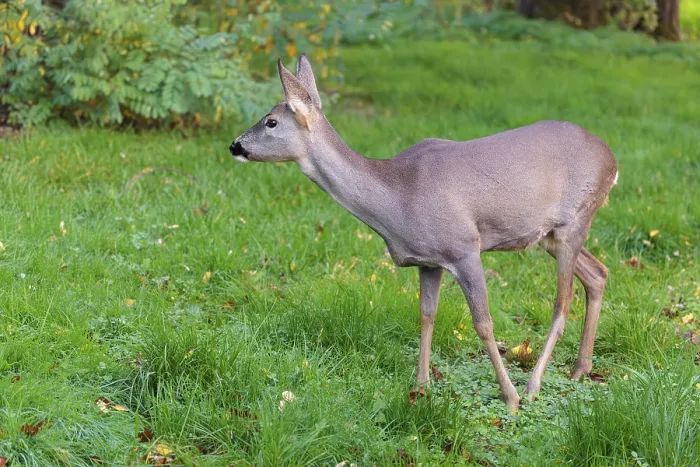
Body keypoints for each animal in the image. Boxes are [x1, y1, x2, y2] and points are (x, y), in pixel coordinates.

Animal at [229, 54, 618, 412]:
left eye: (271, 121)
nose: (234, 145)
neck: (398, 200)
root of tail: (612, 161)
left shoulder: (465, 247)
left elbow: (484, 323)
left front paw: (509, 398)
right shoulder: (429, 261)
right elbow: (426, 315)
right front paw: (421, 385)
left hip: (573, 221)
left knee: (562, 302)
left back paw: (533, 385)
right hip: (548, 235)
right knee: (598, 273)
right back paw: (581, 369)